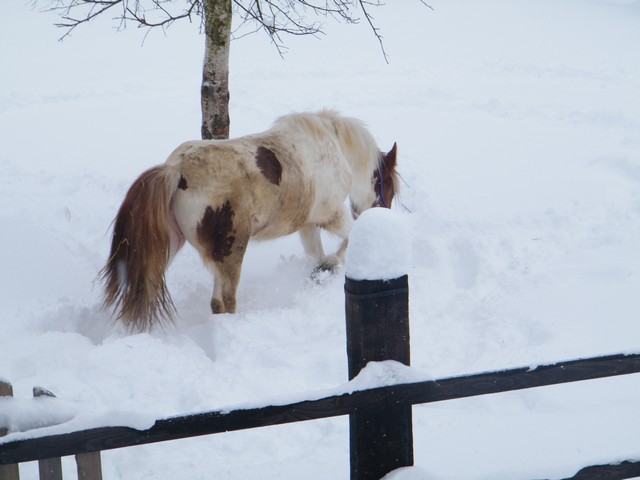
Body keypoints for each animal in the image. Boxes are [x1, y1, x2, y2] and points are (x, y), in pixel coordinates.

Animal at [100, 111, 398, 332]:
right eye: (388, 187)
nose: (382, 214)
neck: (333, 149)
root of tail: (176, 170)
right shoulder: (331, 216)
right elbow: (349, 238)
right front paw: (330, 266)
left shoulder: (307, 225)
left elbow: (317, 254)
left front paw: (320, 272)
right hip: (231, 253)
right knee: (225, 301)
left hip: (177, 247)